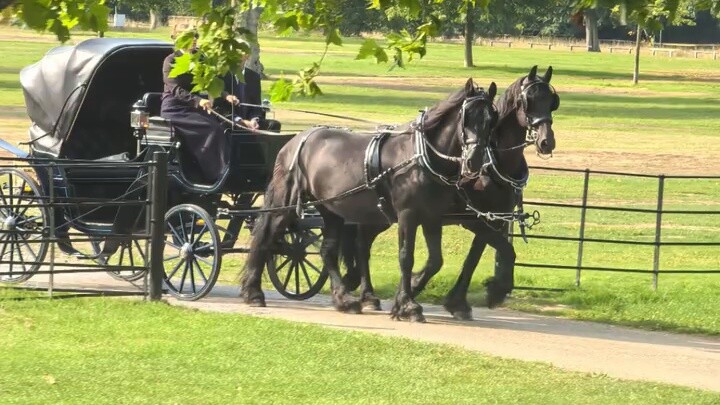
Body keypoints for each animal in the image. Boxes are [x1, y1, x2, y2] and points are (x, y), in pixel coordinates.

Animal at [242, 79, 500, 320]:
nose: (475, 160)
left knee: (327, 251)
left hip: (331, 210)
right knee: (266, 236)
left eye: (491, 120)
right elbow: (406, 257)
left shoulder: (432, 218)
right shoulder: (408, 215)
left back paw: (344, 299)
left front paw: (409, 292)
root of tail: (297, 139)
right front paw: (407, 306)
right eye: (466, 117)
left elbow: (435, 260)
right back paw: (253, 292)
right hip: (285, 203)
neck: (419, 156)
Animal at [340, 65, 560, 318]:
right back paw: (366, 295)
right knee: (362, 245)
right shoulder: (472, 219)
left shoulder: (493, 219)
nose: (546, 141)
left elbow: (484, 255)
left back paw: (362, 290)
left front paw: (471, 297)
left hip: (382, 215)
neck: (493, 163)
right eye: (528, 100)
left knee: (363, 243)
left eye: (552, 101)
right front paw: (417, 288)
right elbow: (488, 254)